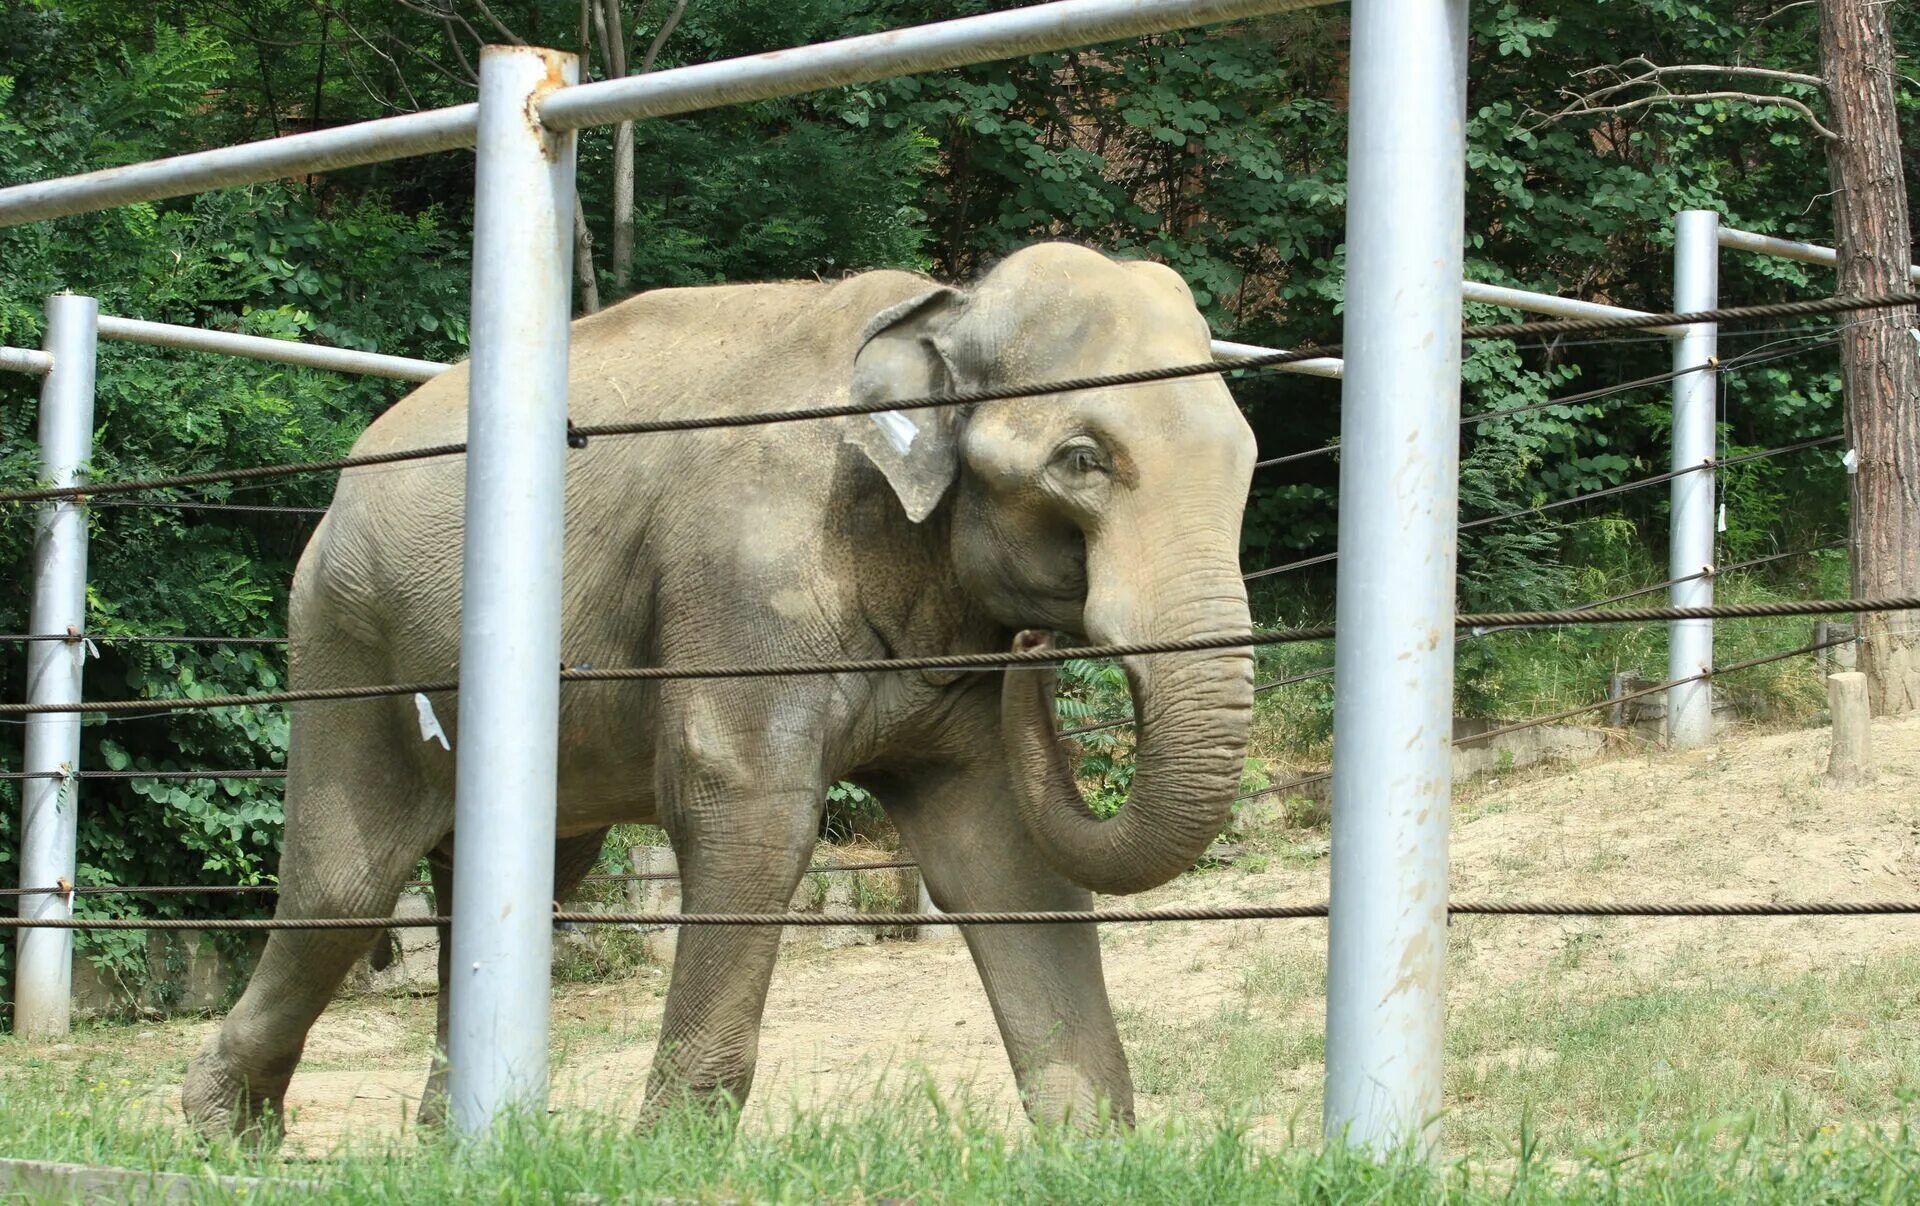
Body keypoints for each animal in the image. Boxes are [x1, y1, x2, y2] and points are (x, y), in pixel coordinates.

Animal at [183, 242, 1259, 1136]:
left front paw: (1095, 1153)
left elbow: (1002, 857)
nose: (1036, 646)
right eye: (1081, 461)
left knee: (526, 878)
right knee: (342, 891)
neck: (943, 305)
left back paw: (451, 1142)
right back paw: (223, 1133)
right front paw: (669, 1158)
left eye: (1249, 460)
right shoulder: (746, 571)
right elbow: (752, 814)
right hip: (345, 638)